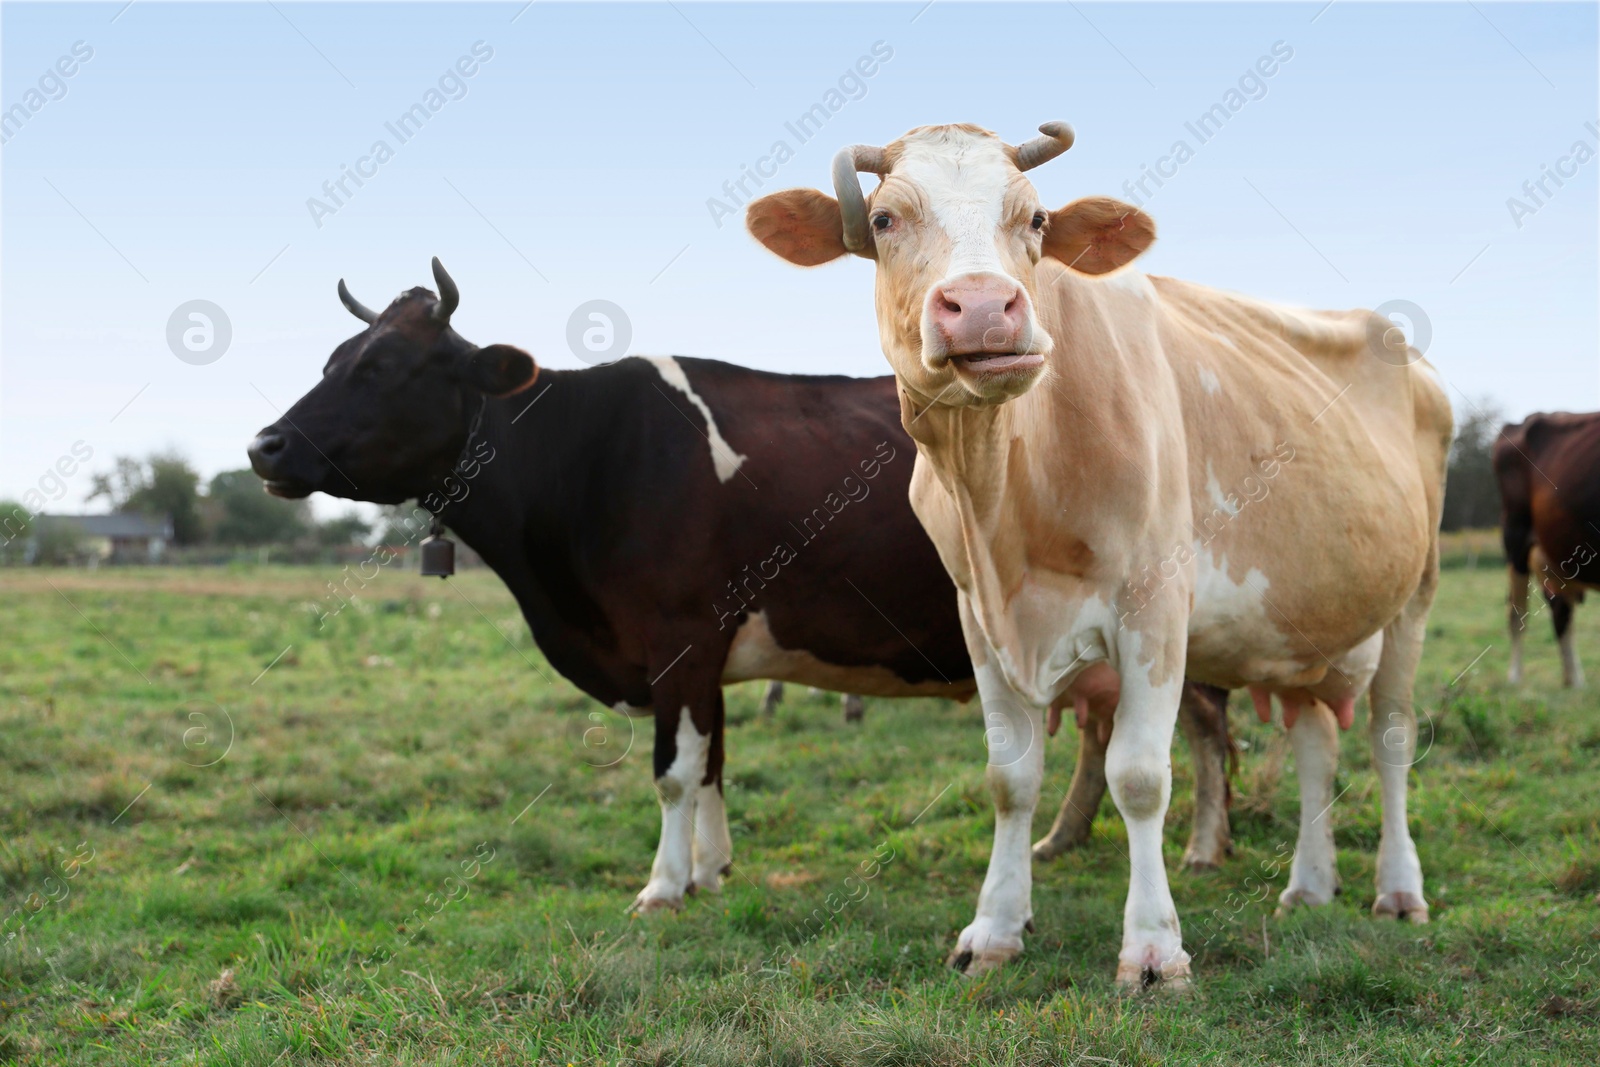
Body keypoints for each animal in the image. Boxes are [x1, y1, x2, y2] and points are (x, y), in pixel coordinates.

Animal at [745, 125, 1452, 991]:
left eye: (1037, 219)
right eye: (883, 219)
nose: (984, 306)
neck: (1006, 490)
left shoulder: (1155, 606)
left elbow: (1140, 777)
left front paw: (1153, 950)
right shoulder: (979, 616)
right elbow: (1009, 779)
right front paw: (993, 928)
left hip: (1414, 595)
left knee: (1391, 737)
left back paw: (1400, 889)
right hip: (1304, 625)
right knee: (1317, 740)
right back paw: (1310, 886)